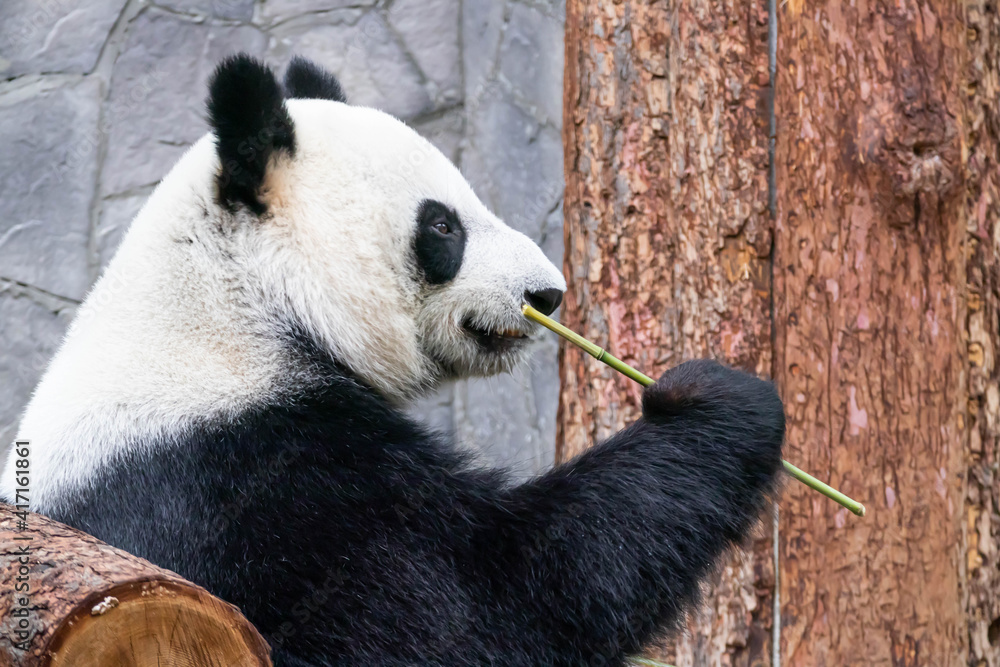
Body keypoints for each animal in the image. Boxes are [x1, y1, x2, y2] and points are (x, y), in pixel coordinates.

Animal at [2, 55, 785, 666]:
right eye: (442, 225)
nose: (546, 293)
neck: (235, 302)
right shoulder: (239, 479)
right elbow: (482, 602)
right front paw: (711, 399)